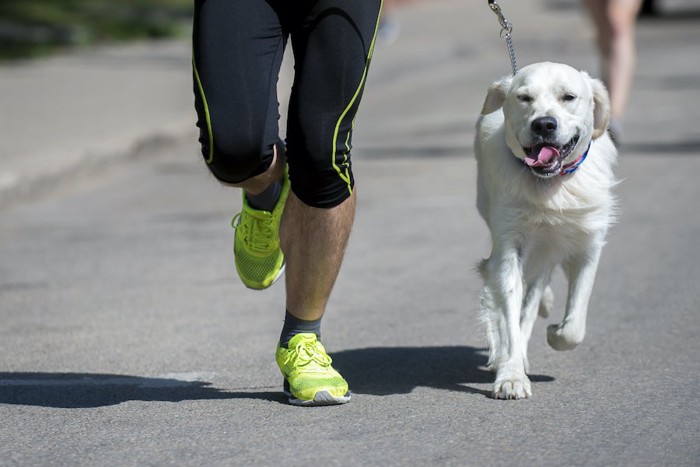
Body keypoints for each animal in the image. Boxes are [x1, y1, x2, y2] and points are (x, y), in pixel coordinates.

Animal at [476, 61, 616, 398]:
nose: (543, 125)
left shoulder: (588, 245)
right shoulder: (509, 245)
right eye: (524, 98)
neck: (551, 185)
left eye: (569, 97)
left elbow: (575, 326)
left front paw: (555, 332)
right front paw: (511, 375)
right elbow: (509, 314)